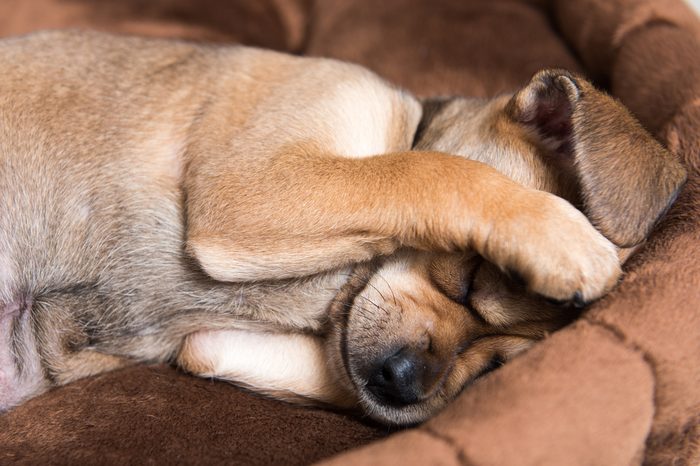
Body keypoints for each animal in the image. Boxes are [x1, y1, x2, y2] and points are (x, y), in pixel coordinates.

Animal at [0, 30, 684, 426]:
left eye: (497, 367)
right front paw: (561, 235)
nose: (406, 386)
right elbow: (426, 170)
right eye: (470, 276)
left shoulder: (212, 344)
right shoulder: (251, 188)